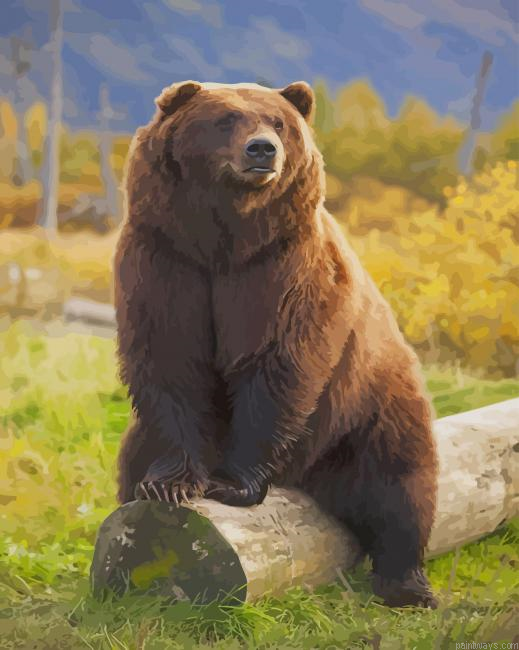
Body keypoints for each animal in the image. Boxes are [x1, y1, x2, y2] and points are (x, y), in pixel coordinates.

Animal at [114, 80, 438, 608]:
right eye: (226, 118)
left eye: (279, 122)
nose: (263, 149)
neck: (225, 239)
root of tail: (309, 478)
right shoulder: (165, 260)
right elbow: (171, 360)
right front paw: (169, 484)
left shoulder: (284, 269)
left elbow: (278, 365)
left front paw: (231, 483)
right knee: (128, 464)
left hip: (368, 406)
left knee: (401, 487)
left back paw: (407, 586)